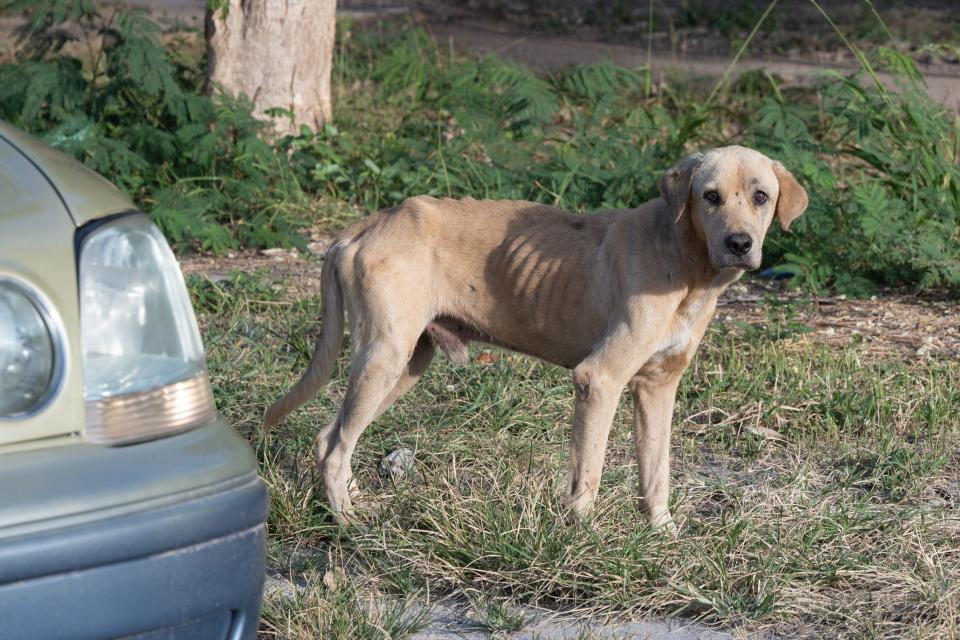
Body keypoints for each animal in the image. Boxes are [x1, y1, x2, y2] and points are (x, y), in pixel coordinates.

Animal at [264, 145, 808, 528]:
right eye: (710, 196)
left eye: (760, 196)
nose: (739, 244)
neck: (683, 261)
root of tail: (358, 229)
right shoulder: (598, 380)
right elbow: (588, 475)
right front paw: (583, 541)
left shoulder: (658, 388)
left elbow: (656, 474)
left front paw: (663, 537)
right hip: (384, 356)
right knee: (337, 444)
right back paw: (346, 522)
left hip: (407, 363)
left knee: (329, 437)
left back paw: (352, 506)